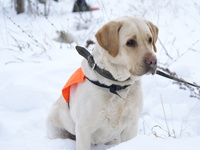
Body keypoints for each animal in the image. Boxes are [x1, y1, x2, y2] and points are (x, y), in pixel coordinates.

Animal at [46, 15, 159, 149]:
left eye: (150, 39)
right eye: (130, 42)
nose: (153, 61)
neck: (116, 85)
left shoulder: (131, 126)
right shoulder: (84, 129)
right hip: (56, 129)